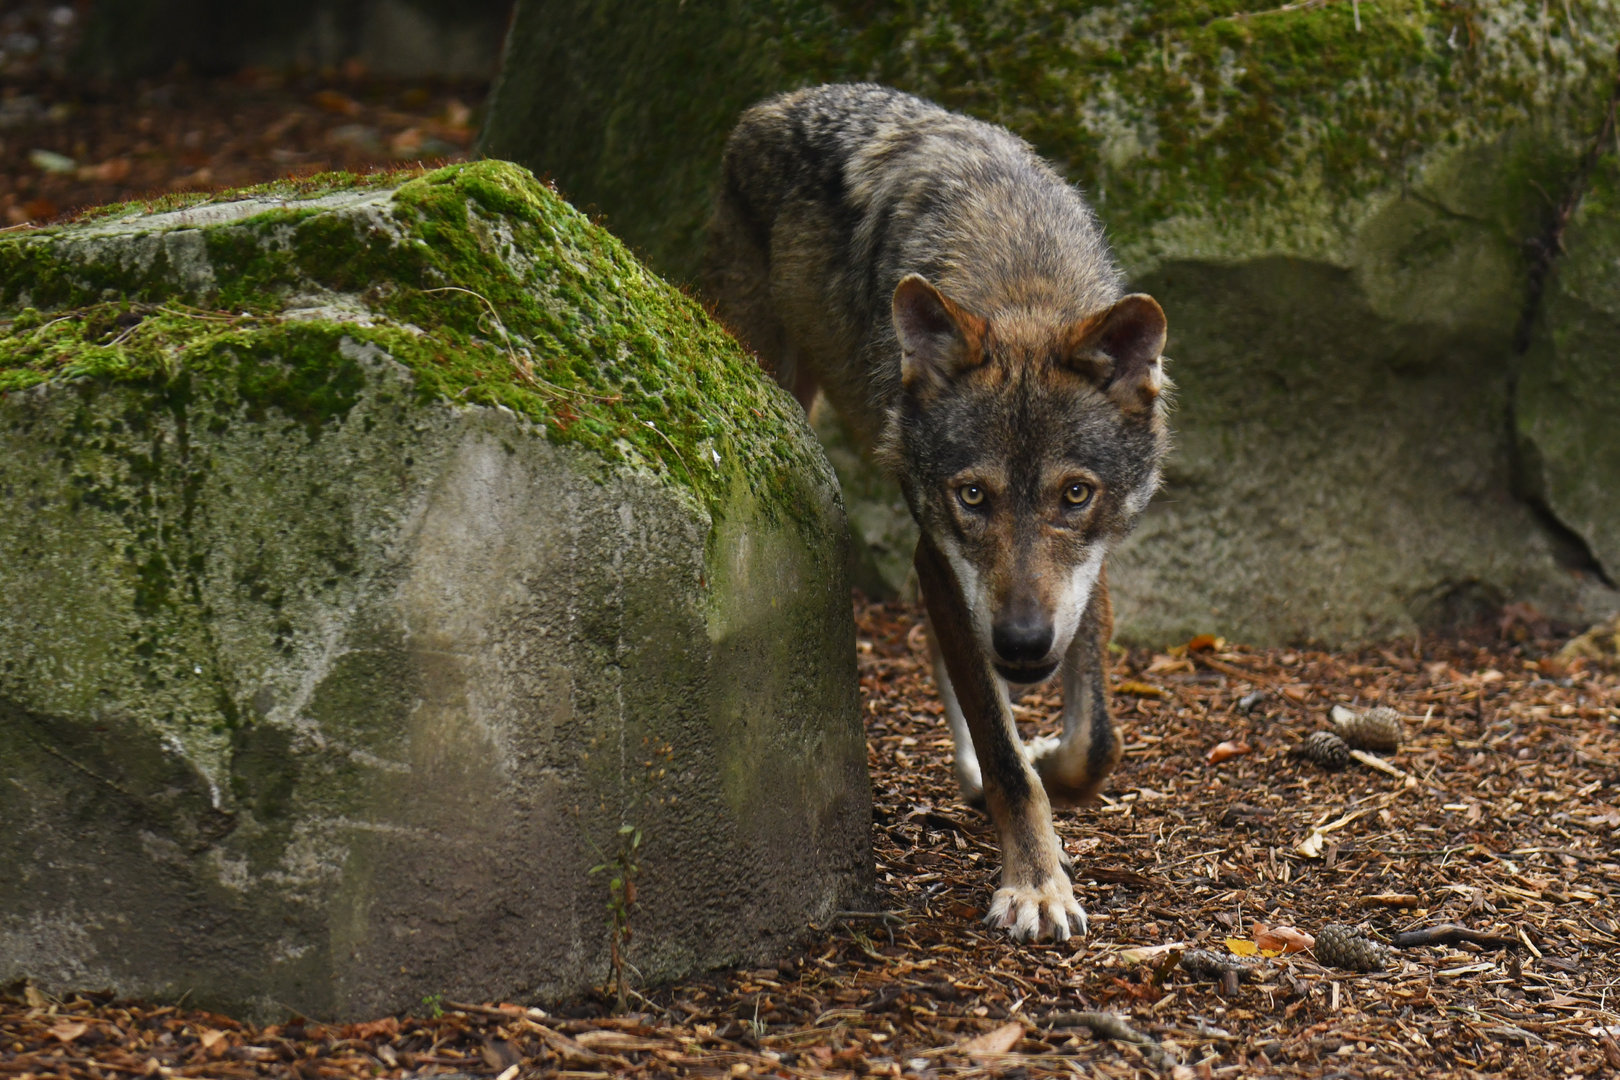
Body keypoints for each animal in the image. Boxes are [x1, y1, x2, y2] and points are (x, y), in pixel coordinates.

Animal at [704, 83, 1170, 942]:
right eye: (974, 495)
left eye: (1075, 495)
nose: (1021, 642)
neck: (1021, 282)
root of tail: (774, 104)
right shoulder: (937, 548)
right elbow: (1006, 751)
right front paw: (1035, 883)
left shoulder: (1089, 567)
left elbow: (1095, 745)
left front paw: (1050, 768)